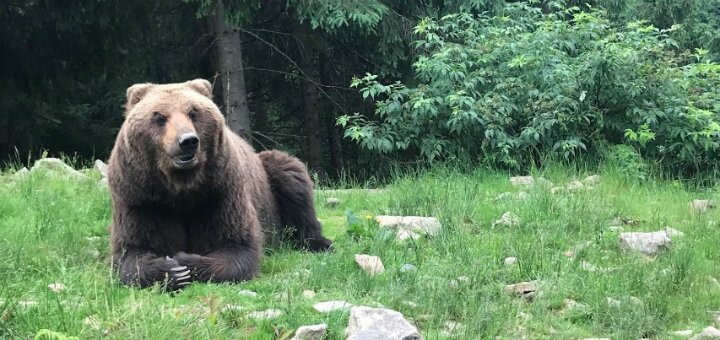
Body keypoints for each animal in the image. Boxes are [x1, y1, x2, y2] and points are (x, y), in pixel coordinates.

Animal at [107, 79, 332, 290]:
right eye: (159, 117)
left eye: (193, 112)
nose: (187, 141)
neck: (181, 188)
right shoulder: (141, 198)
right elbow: (132, 252)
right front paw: (171, 270)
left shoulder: (219, 192)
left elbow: (237, 245)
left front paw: (186, 263)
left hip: (270, 177)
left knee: (292, 178)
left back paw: (320, 243)